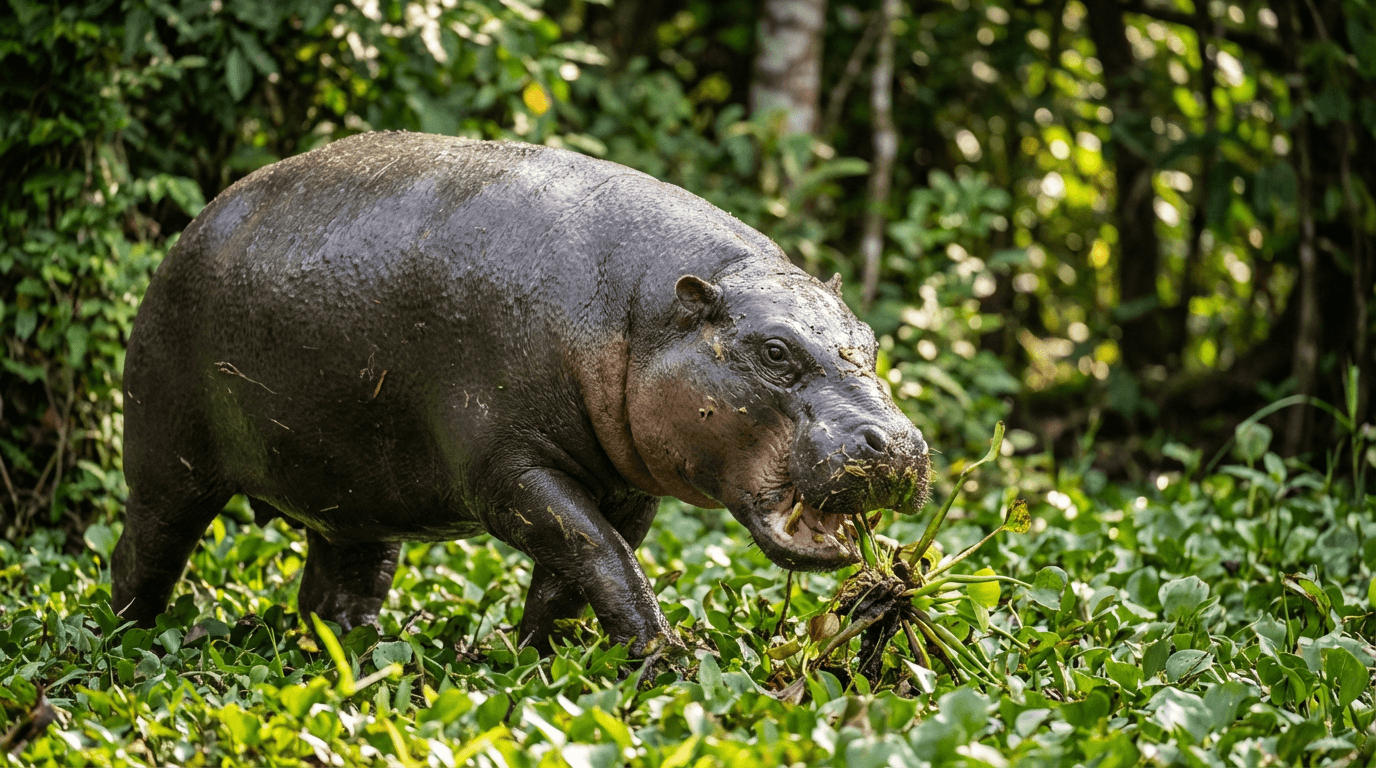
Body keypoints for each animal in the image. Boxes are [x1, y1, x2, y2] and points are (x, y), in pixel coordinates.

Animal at [111, 131, 930, 655]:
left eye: (870, 340)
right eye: (774, 351)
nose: (897, 443)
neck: (642, 313)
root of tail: (196, 222)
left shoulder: (628, 487)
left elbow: (577, 571)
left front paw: (537, 661)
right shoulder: (510, 471)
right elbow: (597, 553)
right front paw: (661, 660)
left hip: (350, 494)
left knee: (343, 584)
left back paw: (345, 657)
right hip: (168, 459)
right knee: (142, 550)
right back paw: (124, 642)